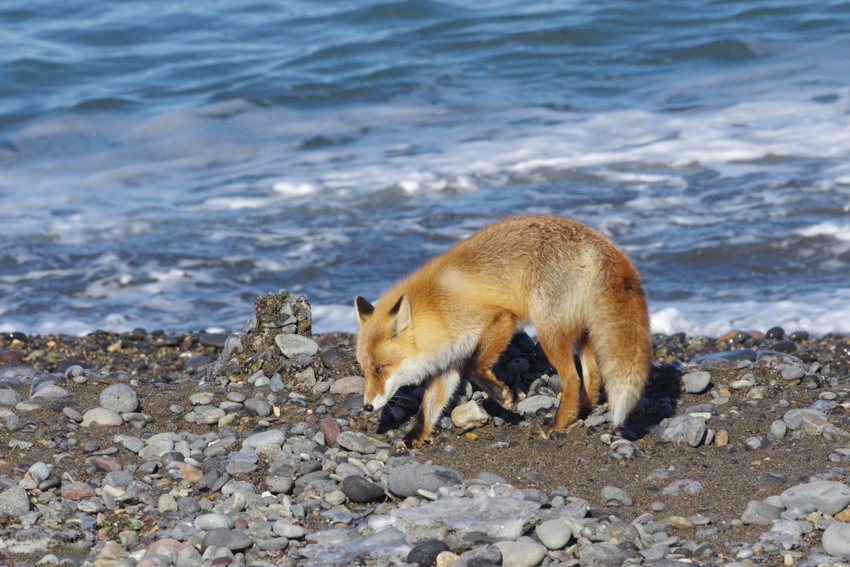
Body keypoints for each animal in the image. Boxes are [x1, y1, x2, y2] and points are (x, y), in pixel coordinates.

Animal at [352, 214, 648, 448]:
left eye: (380, 369)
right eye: (366, 371)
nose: (366, 407)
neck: (437, 308)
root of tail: (595, 239)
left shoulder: (500, 319)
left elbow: (475, 367)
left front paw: (501, 395)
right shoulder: (447, 361)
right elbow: (428, 408)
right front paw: (413, 438)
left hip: (548, 330)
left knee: (572, 379)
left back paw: (557, 425)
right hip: (579, 330)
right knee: (593, 373)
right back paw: (582, 410)